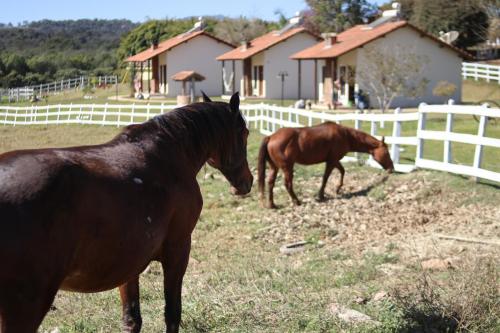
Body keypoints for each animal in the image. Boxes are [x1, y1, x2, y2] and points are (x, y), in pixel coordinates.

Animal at [0, 91, 252, 332]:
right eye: (245, 133)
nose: (247, 182)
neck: (169, 156)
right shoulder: (178, 250)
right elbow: (172, 315)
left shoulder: (129, 263)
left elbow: (132, 319)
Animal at [258, 119, 394, 208]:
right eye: (386, 152)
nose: (391, 169)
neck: (345, 135)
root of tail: (271, 137)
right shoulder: (332, 161)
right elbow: (325, 178)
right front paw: (321, 195)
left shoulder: (334, 160)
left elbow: (342, 171)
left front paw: (338, 189)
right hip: (287, 168)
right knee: (288, 184)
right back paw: (297, 201)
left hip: (274, 167)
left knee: (270, 183)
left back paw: (272, 204)